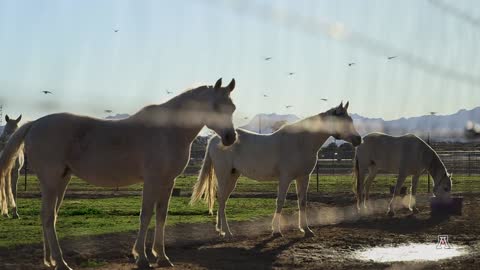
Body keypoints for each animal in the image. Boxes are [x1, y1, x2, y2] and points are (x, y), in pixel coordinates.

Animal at [0, 78, 239, 270]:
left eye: (232, 108)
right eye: (215, 106)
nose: (230, 138)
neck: (168, 131)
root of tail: (34, 124)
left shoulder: (167, 182)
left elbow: (161, 217)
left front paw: (162, 257)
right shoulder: (152, 181)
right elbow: (145, 216)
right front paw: (142, 257)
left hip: (61, 181)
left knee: (48, 216)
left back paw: (50, 260)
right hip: (51, 183)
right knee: (49, 218)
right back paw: (60, 262)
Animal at [190, 102, 360, 237]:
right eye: (343, 121)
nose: (358, 139)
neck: (301, 142)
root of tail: (214, 139)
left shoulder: (304, 177)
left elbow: (302, 202)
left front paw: (306, 229)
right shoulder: (285, 178)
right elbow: (280, 201)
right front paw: (276, 230)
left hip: (233, 176)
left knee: (222, 200)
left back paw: (221, 230)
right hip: (224, 175)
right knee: (221, 200)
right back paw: (227, 232)